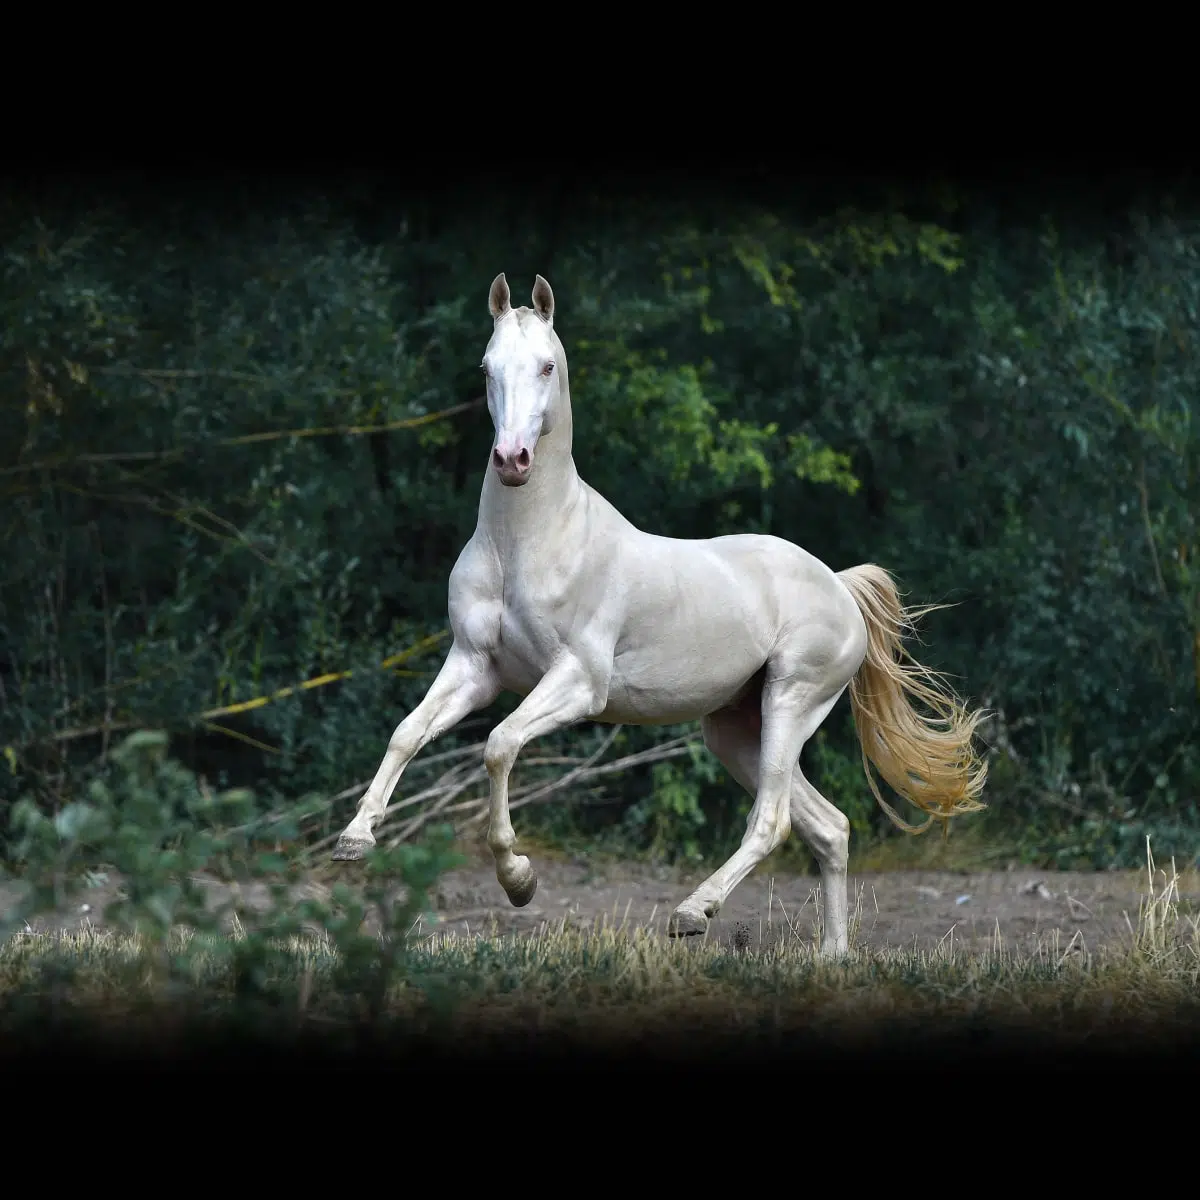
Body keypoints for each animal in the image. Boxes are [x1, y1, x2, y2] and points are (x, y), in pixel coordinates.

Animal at [332, 272, 987, 957]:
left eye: (546, 365)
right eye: (487, 368)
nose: (512, 460)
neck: (529, 545)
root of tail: (837, 584)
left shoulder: (579, 681)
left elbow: (499, 743)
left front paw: (519, 880)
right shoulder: (474, 667)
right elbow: (408, 731)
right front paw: (355, 839)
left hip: (790, 701)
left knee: (773, 820)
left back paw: (692, 912)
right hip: (736, 731)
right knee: (828, 826)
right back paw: (831, 956)